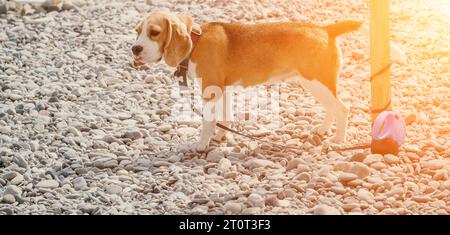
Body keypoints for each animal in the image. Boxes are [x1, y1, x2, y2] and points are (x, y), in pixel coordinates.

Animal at [131, 10, 362, 151]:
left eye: (154, 32)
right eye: (137, 31)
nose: (135, 49)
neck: (196, 41)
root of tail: (326, 30)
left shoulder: (210, 91)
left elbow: (208, 121)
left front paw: (202, 145)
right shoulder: (223, 90)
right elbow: (225, 117)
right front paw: (221, 137)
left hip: (318, 82)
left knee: (343, 109)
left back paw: (338, 140)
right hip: (313, 83)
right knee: (332, 107)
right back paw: (322, 130)